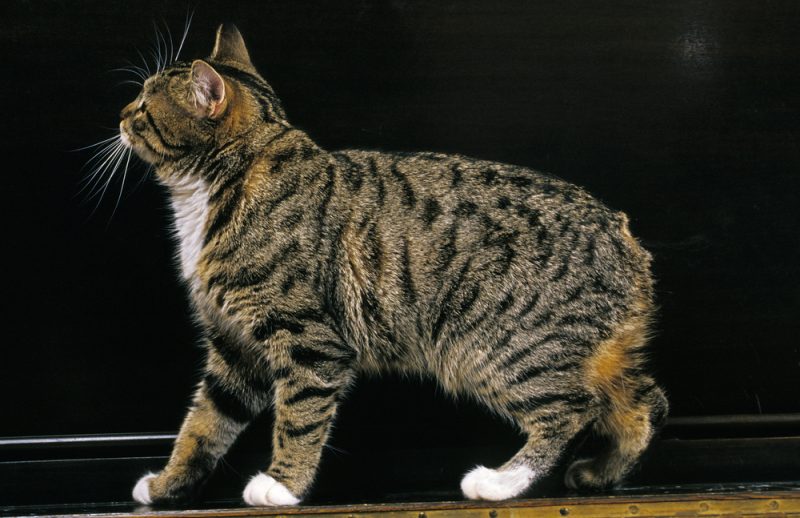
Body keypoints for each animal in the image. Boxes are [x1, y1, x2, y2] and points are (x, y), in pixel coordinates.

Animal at [117, 23, 668, 508]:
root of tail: (623, 234)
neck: (223, 188)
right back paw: (601, 473)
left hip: (497, 346)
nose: (121, 114)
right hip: (594, 354)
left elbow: (298, 418)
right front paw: (167, 487)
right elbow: (203, 425)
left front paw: (283, 487)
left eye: (144, 105)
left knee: (572, 409)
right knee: (645, 403)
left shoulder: (309, 340)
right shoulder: (233, 347)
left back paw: (498, 482)